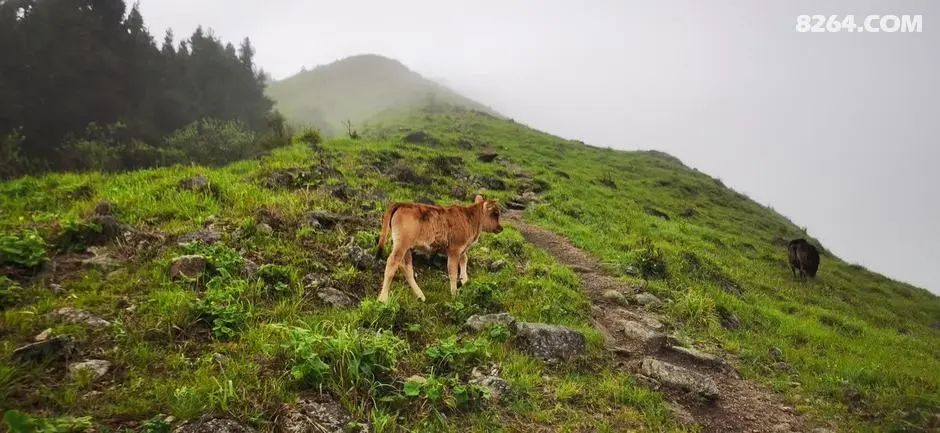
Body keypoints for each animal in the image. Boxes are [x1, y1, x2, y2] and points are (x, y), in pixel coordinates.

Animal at [376, 194, 504, 302]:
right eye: (495, 213)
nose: (500, 228)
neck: (470, 219)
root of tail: (401, 204)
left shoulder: (462, 249)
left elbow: (464, 259)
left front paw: (463, 280)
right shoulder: (454, 249)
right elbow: (453, 271)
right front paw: (454, 294)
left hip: (407, 247)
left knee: (406, 267)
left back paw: (420, 296)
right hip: (402, 244)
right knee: (392, 262)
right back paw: (383, 298)